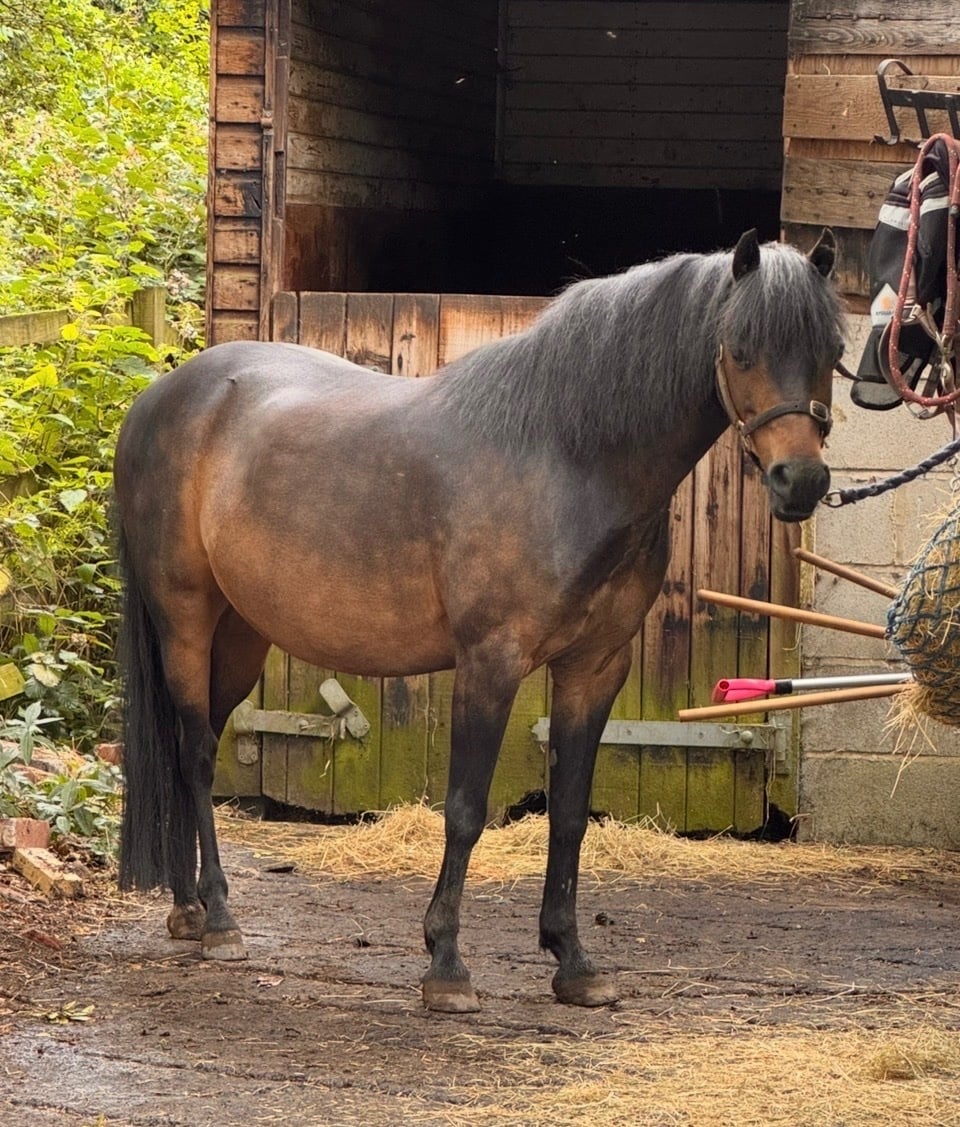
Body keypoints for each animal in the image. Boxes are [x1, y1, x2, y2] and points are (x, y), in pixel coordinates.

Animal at [114, 228, 843, 1013]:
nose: (801, 482)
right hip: (186, 620)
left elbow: (570, 812)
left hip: (241, 635)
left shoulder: (596, 666)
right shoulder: (491, 661)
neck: (566, 455)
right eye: (741, 349)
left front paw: (573, 960)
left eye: (831, 350)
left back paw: (188, 908)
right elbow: (465, 809)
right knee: (194, 753)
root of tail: (156, 398)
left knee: (191, 750)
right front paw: (446, 965)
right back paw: (220, 918)